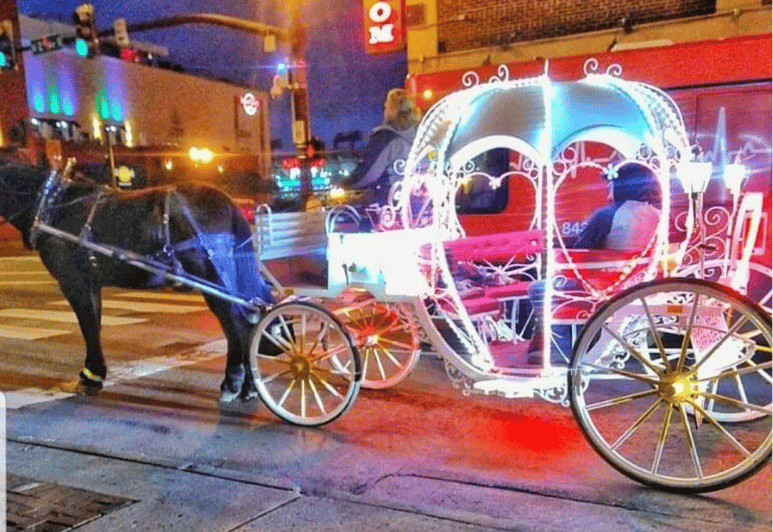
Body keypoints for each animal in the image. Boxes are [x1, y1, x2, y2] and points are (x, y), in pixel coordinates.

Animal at [0, 164, 272, 402]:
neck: (52, 205)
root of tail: (228, 204)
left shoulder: (74, 282)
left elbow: (88, 327)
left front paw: (90, 377)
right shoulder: (91, 283)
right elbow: (94, 325)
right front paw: (95, 374)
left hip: (214, 279)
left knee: (239, 327)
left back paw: (236, 384)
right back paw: (244, 385)